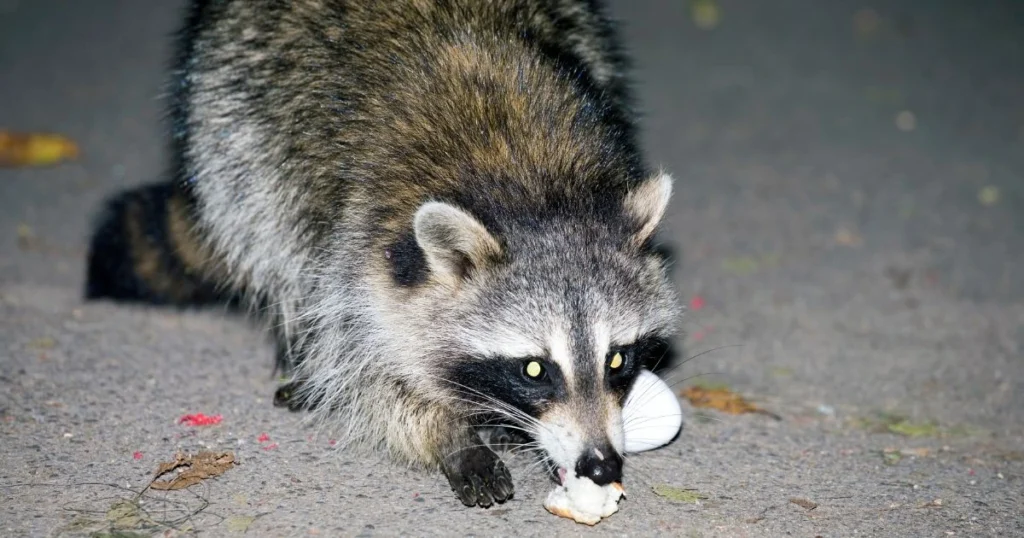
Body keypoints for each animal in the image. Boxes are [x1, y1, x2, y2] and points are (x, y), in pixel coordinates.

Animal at [86, 0, 679, 508]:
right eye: (535, 369)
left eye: (618, 359)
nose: (600, 465)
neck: (533, 187)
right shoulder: (358, 237)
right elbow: (365, 366)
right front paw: (446, 432)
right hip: (229, 113)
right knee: (265, 225)